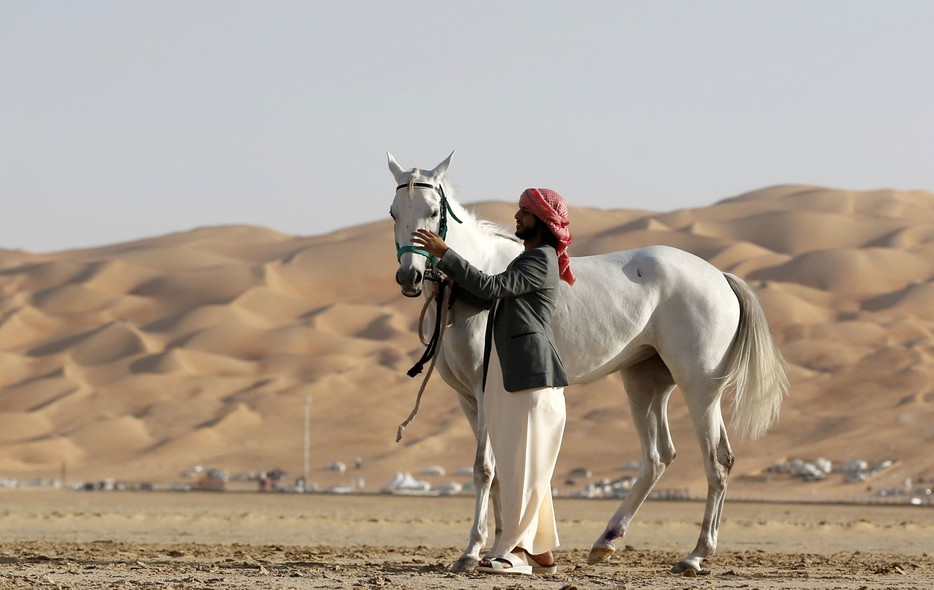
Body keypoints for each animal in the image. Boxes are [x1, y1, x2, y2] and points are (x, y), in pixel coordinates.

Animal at [388, 151, 788, 572]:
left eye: (433, 211)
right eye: (394, 212)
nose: (409, 276)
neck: (472, 285)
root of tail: (721, 277)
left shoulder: (485, 393)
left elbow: (484, 468)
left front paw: (472, 551)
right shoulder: (467, 399)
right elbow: (497, 473)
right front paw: (502, 547)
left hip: (699, 389)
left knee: (718, 460)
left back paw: (695, 555)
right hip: (645, 383)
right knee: (657, 457)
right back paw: (606, 541)